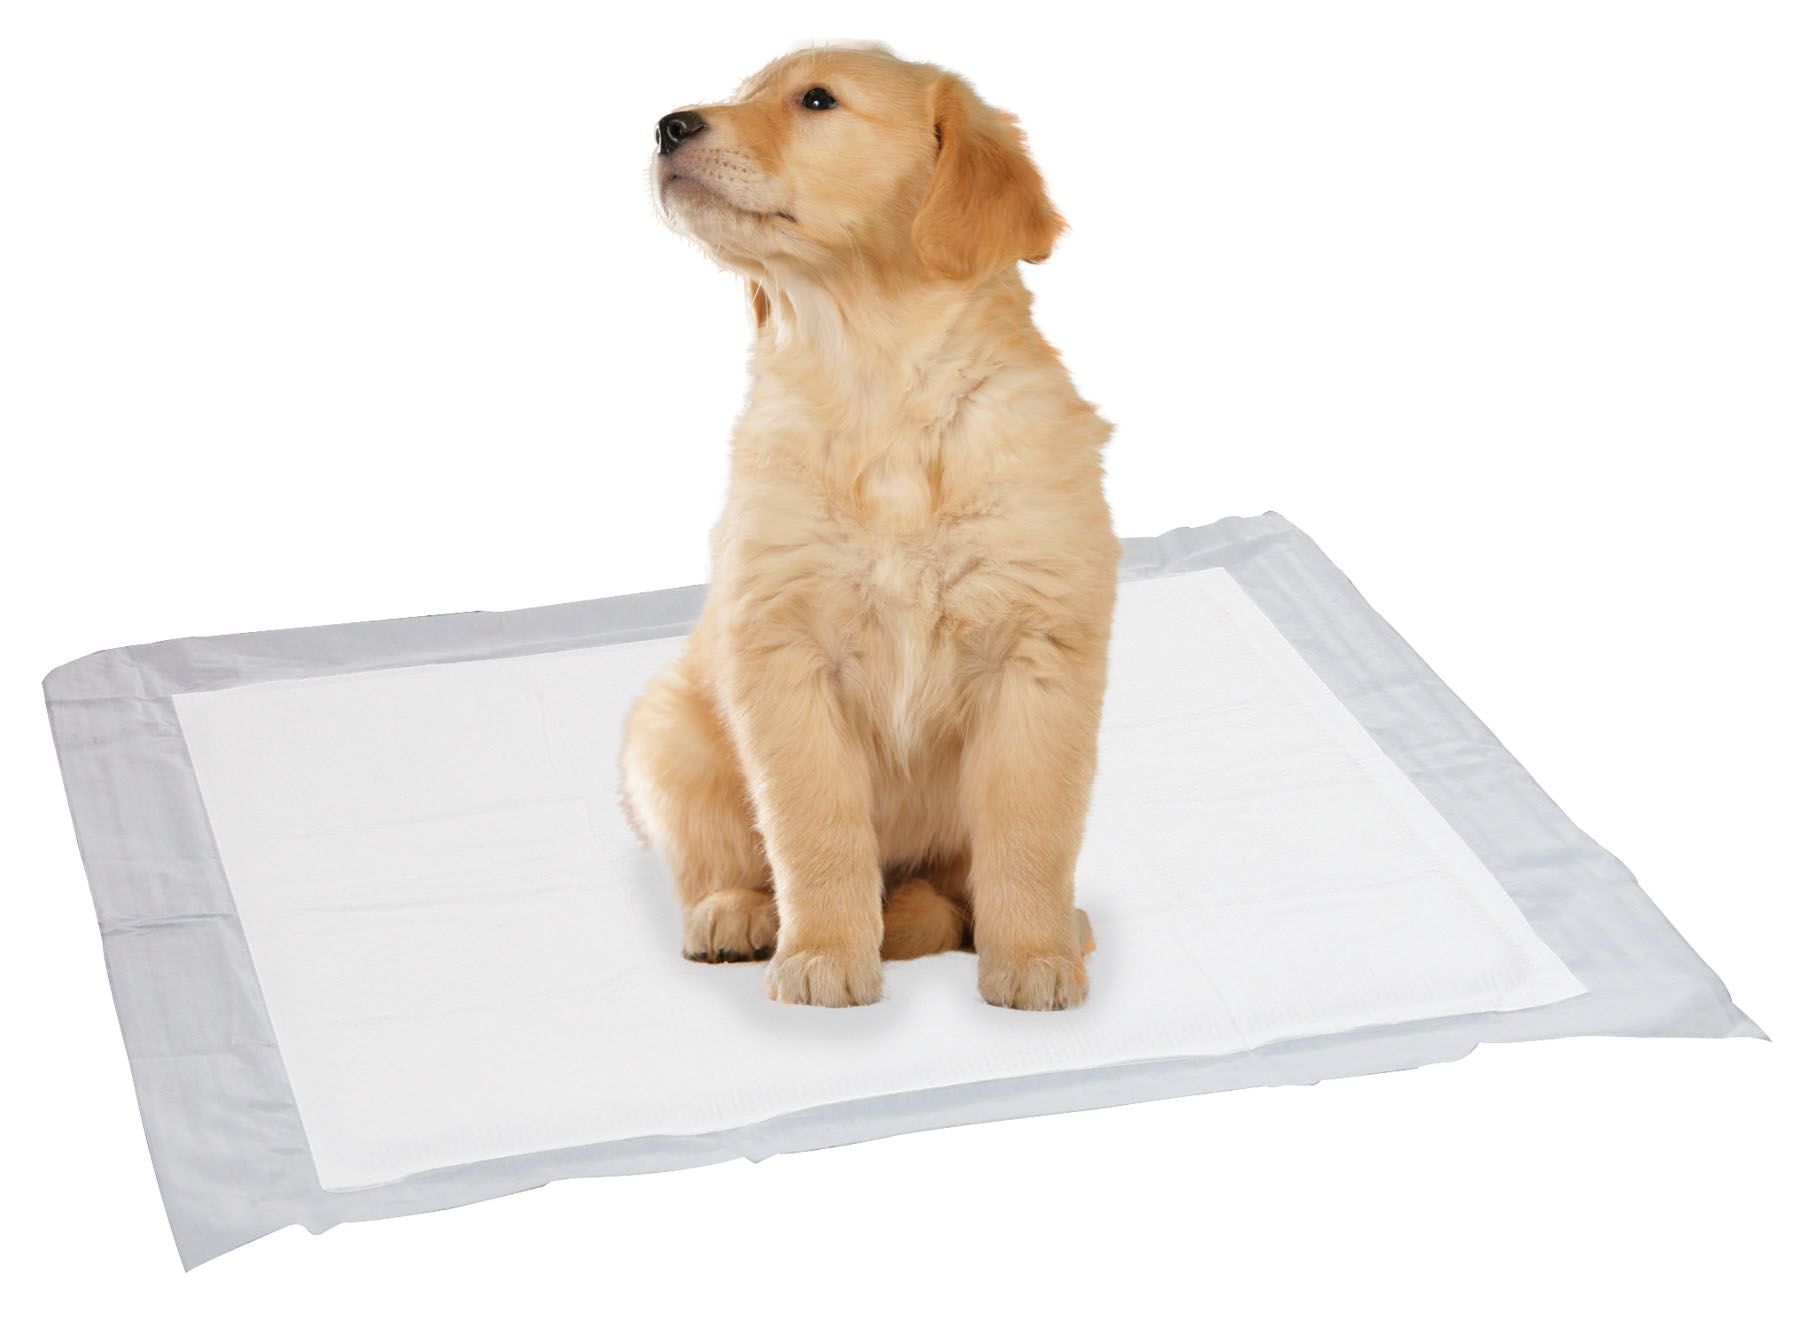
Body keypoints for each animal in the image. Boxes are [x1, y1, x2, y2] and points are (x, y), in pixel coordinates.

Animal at [621, 44, 1118, 1010]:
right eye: (740, 92)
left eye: (816, 100)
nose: (667, 126)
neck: (877, 386)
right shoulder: (782, 652)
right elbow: (814, 825)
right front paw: (822, 955)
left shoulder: (1038, 651)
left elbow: (1030, 827)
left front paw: (1033, 955)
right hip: (665, 733)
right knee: (713, 855)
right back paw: (737, 914)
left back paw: (1057, 926)